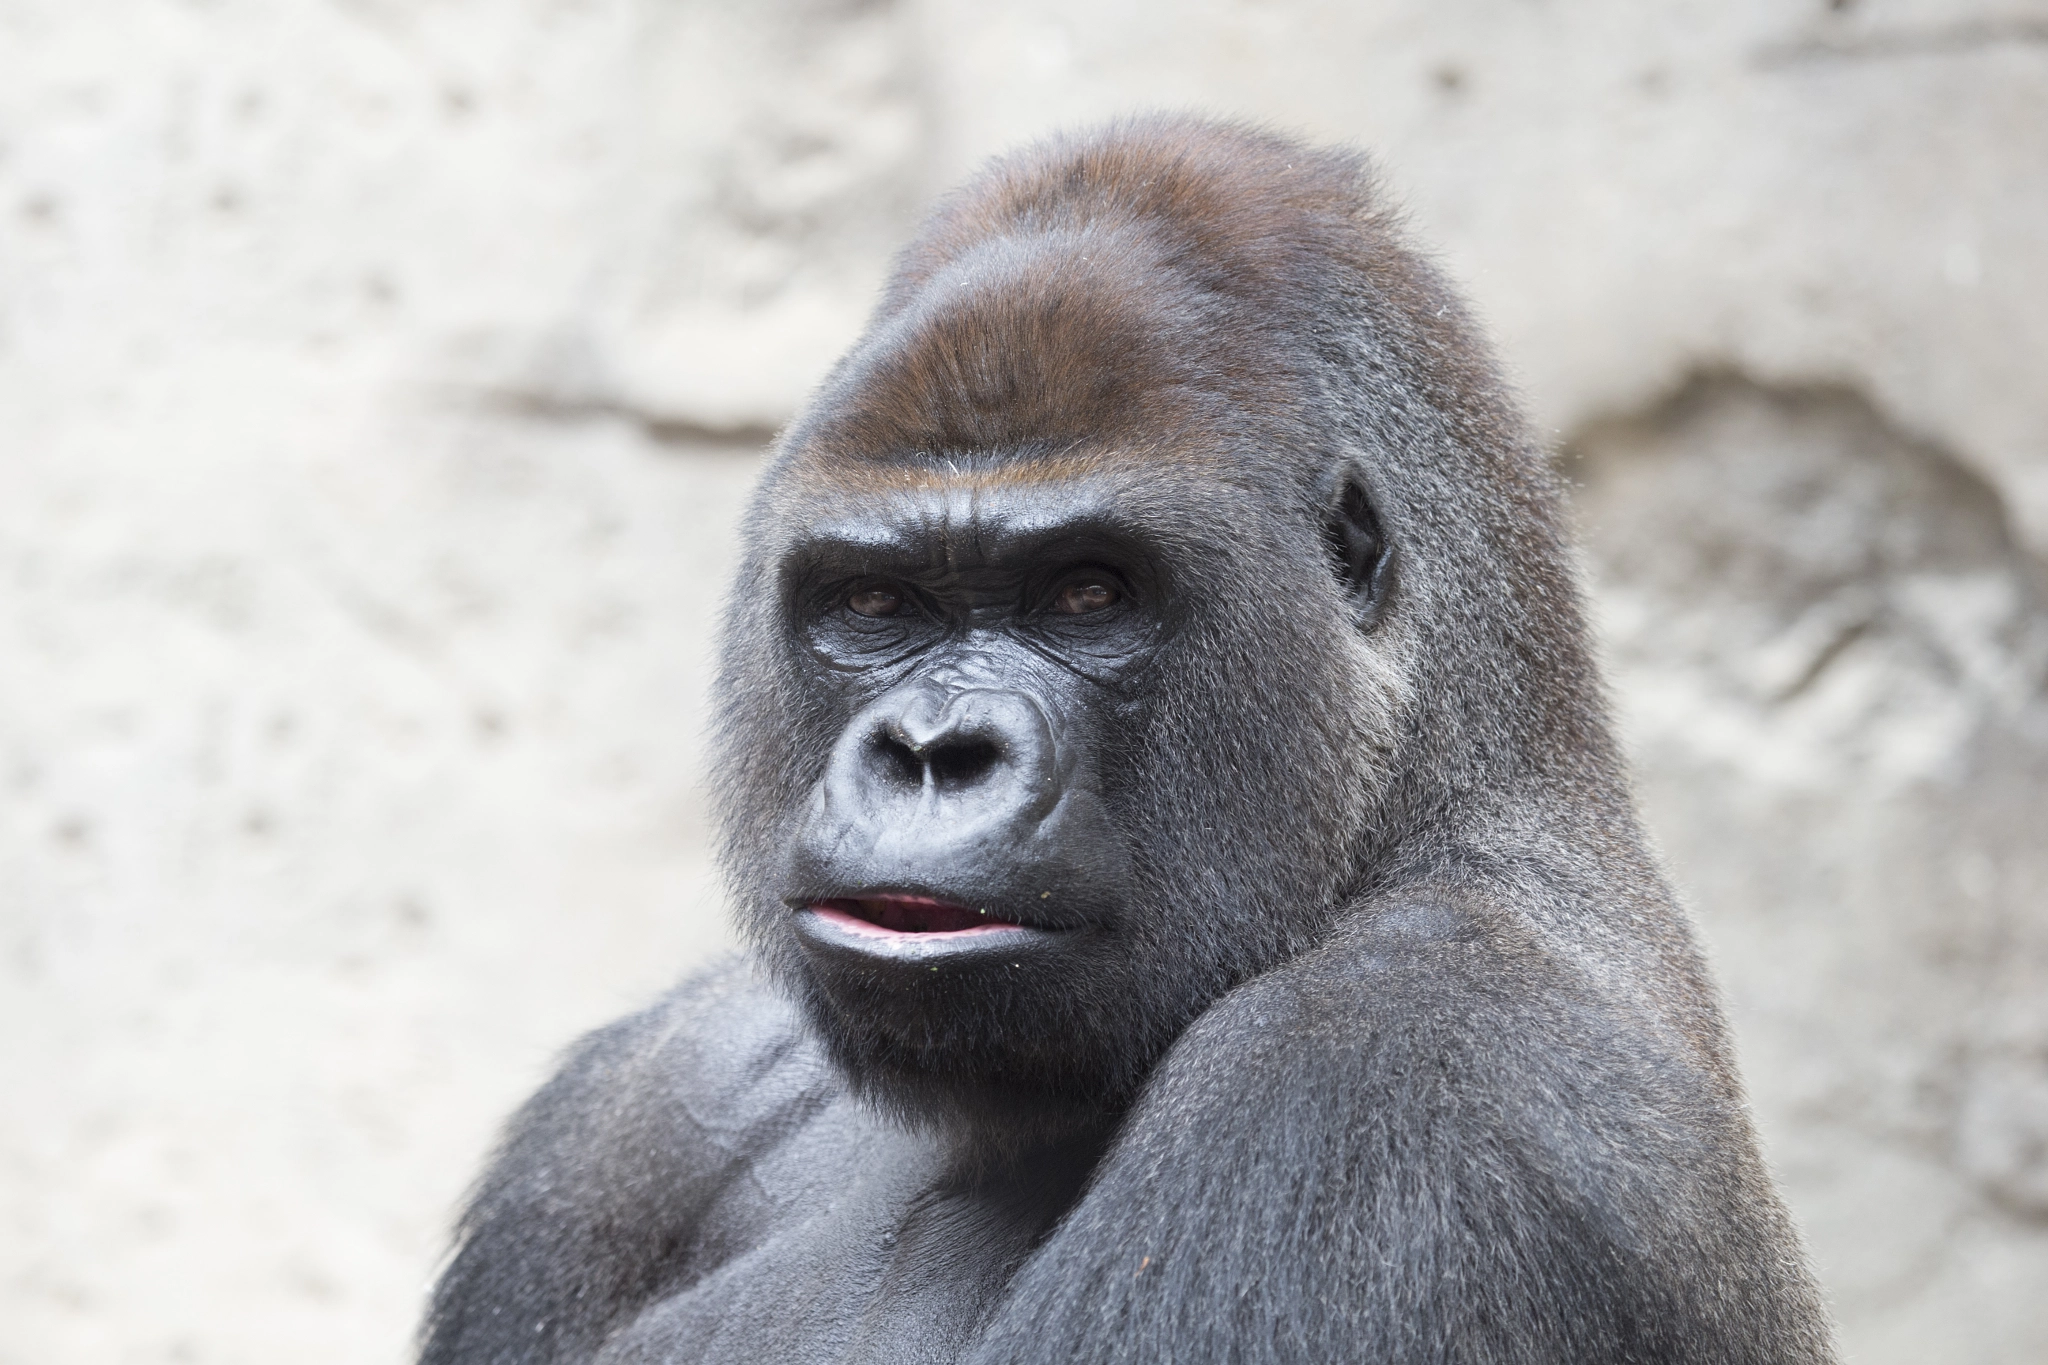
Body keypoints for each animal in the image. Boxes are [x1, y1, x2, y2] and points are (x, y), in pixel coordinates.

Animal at [420, 116, 1838, 1364]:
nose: (931, 750)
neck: (1444, 797)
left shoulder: (1396, 1071)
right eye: (875, 604)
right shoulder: (641, 1108)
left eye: (1087, 595)